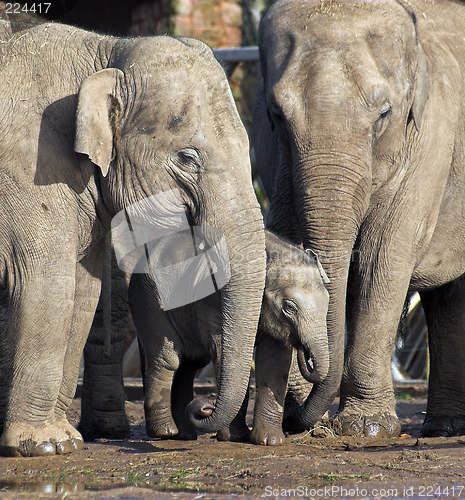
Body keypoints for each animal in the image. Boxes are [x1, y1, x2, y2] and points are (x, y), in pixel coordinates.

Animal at [0, 21, 264, 458]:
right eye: (187, 158)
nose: (202, 407)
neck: (105, 52)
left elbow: (83, 293)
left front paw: (66, 440)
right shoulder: (29, 170)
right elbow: (47, 285)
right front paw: (47, 445)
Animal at [127, 230, 328, 446]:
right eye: (289, 307)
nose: (206, 408)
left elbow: (275, 360)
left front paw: (269, 442)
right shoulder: (213, 301)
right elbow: (225, 352)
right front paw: (235, 438)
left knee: (189, 365)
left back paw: (185, 435)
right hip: (147, 299)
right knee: (169, 359)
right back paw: (165, 432)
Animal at [254, 0, 465, 438]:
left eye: (384, 113)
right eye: (276, 114)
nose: (302, 424)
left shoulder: (429, 142)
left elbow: (381, 257)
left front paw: (367, 429)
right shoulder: (279, 158)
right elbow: (285, 238)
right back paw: (443, 427)